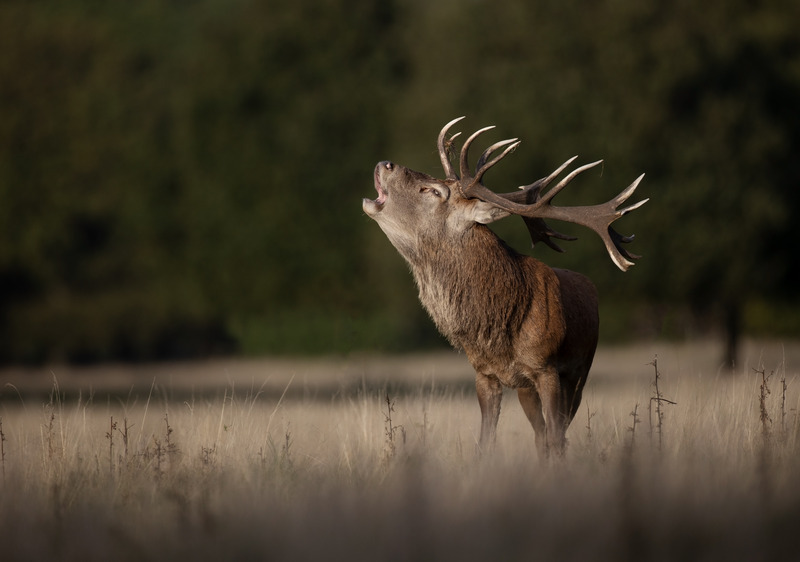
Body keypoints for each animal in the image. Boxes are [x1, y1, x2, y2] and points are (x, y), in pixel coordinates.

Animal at [362, 117, 647, 457]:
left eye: (433, 190)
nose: (385, 163)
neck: (498, 332)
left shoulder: (547, 368)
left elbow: (557, 437)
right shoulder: (484, 372)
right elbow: (487, 440)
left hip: (581, 371)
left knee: (558, 432)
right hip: (526, 389)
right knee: (539, 434)